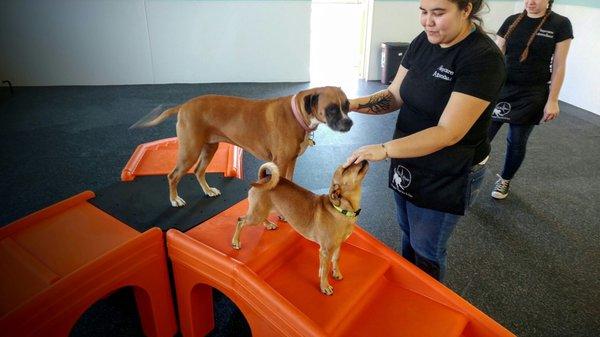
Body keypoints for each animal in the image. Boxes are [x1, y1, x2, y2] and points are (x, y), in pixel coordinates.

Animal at [129, 86, 350, 207]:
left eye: (347, 105)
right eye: (331, 109)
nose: (349, 123)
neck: (297, 114)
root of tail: (183, 106)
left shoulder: (291, 161)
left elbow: (289, 181)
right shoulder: (280, 162)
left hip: (209, 148)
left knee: (199, 171)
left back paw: (208, 191)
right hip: (189, 152)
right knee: (173, 176)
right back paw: (175, 200)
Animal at [231, 160, 368, 294]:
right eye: (345, 169)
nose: (364, 160)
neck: (342, 210)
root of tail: (264, 178)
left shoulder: (338, 244)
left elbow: (336, 259)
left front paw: (336, 273)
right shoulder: (325, 251)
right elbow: (324, 270)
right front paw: (324, 286)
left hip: (261, 211)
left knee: (260, 218)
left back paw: (268, 224)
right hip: (255, 216)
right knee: (240, 221)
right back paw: (235, 242)